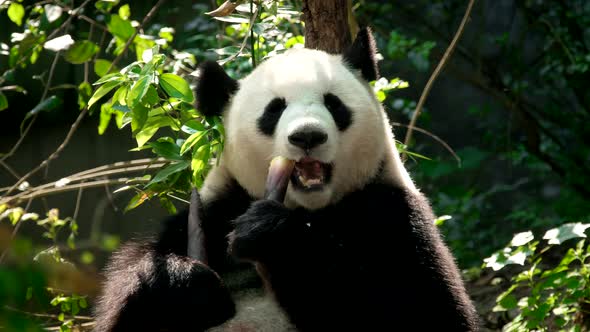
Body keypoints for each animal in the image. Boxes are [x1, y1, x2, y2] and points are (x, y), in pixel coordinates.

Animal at [93, 29, 480, 332]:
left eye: (333, 104)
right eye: (274, 109)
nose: (307, 136)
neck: (312, 211)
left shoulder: (391, 214)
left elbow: (419, 310)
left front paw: (269, 234)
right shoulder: (216, 208)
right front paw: (185, 283)